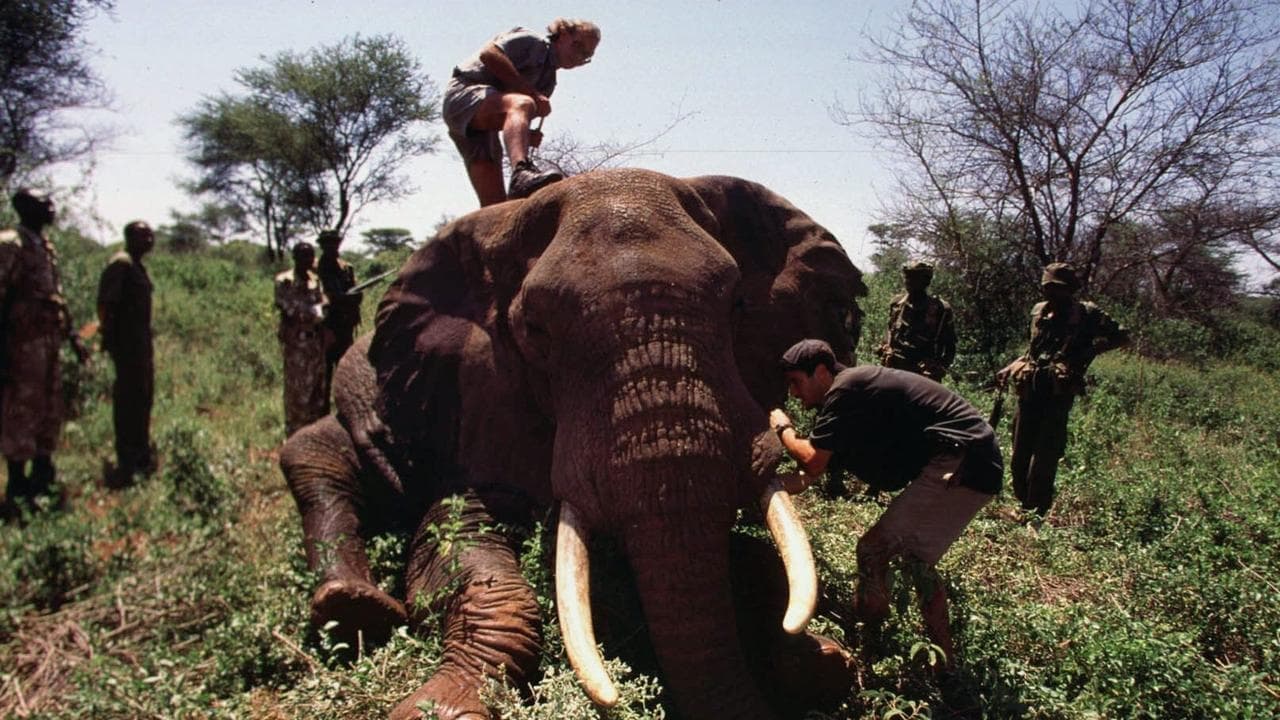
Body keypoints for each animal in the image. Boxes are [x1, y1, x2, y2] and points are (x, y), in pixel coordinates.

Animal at [280, 168, 867, 719]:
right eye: (536, 332)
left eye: (738, 306)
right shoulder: (487, 405)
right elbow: (451, 544)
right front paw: (441, 709)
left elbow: (744, 553)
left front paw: (823, 666)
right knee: (315, 456)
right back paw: (352, 606)